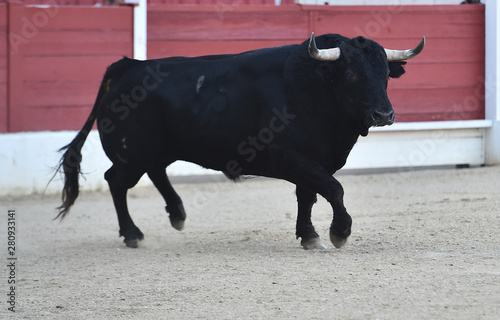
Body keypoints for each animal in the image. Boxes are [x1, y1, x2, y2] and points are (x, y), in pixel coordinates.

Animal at [53, 32, 422, 249]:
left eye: (386, 75)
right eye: (350, 73)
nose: (384, 114)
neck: (313, 88)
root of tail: (128, 66)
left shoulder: (312, 161)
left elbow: (308, 196)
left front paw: (309, 236)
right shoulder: (293, 158)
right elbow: (334, 189)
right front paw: (339, 233)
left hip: (159, 149)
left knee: (155, 172)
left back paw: (177, 214)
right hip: (133, 154)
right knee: (116, 180)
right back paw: (133, 234)